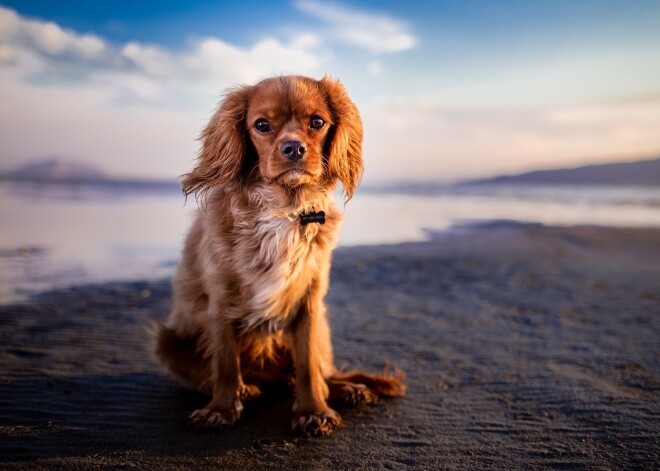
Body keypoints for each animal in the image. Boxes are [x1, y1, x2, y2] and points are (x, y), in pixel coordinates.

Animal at [156, 75, 402, 436]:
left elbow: (308, 365)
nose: (294, 148)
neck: (283, 210)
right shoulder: (221, 300)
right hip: (167, 343)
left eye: (317, 122)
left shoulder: (310, 299)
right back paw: (247, 388)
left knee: (319, 372)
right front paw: (221, 409)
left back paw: (347, 389)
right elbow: (225, 363)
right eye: (261, 125)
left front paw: (314, 411)